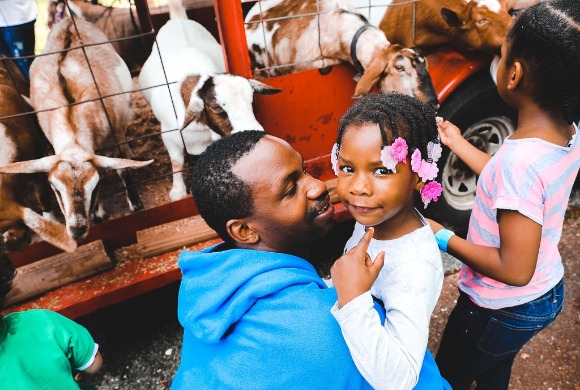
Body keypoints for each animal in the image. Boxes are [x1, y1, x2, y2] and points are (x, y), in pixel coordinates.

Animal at [137, 0, 280, 201]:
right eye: (216, 107)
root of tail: (178, 19)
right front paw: (178, 191)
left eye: (251, 100)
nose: (255, 133)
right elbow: (176, 162)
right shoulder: (169, 135)